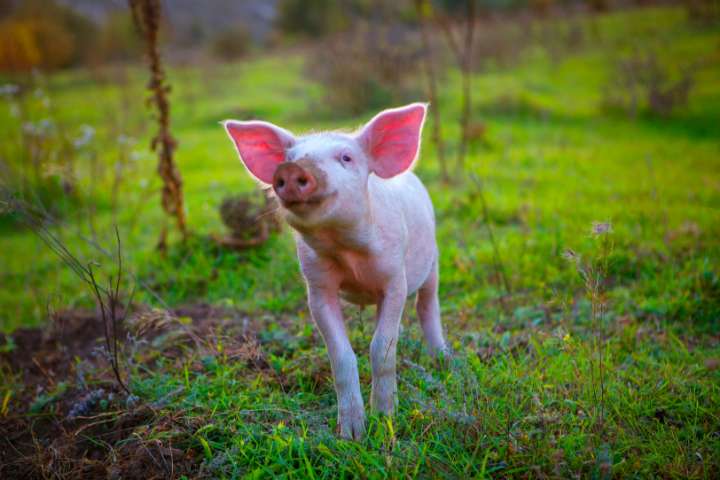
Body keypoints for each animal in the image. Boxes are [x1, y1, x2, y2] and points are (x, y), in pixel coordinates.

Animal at [224, 104, 444, 438]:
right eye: (290, 157)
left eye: (346, 158)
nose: (291, 170)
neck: (347, 250)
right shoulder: (317, 287)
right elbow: (341, 355)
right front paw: (351, 435)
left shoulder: (395, 280)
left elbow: (381, 348)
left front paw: (386, 420)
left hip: (433, 263)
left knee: (427, 306)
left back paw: (443, 360)